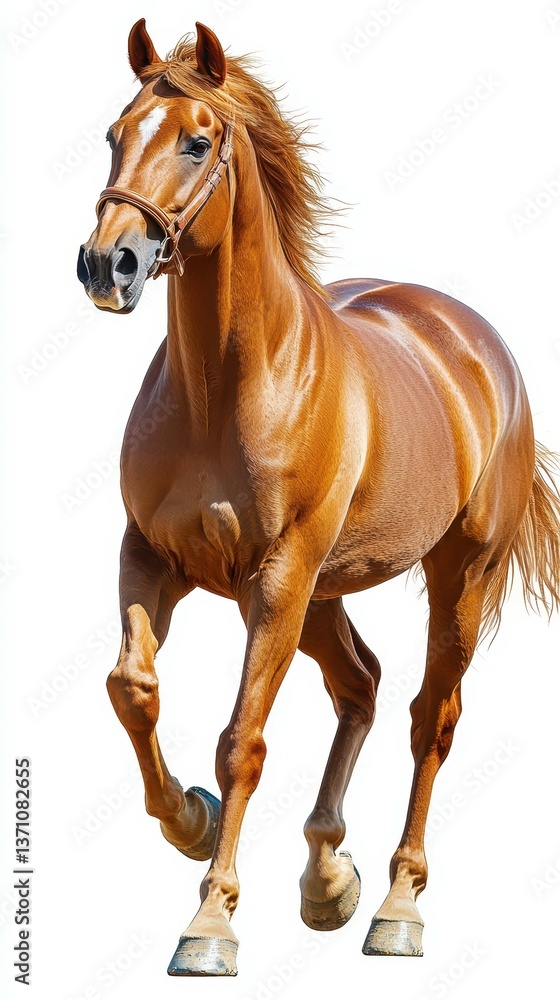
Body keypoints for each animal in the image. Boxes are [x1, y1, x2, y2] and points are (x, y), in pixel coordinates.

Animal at [77, 19, 560, 977]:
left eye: (196, 141)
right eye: (114, 135)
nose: (108, 264)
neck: (226, 388)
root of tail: (480, 345)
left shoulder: (276, 578)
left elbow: (242, 740)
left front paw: (211, 922)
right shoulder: (153, 558)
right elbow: (132, 687)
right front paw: (189, 821)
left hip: (453, 578)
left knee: (429, 718)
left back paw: (397, 908)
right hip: (324, 592)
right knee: (361, 684)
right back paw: (327, 878)